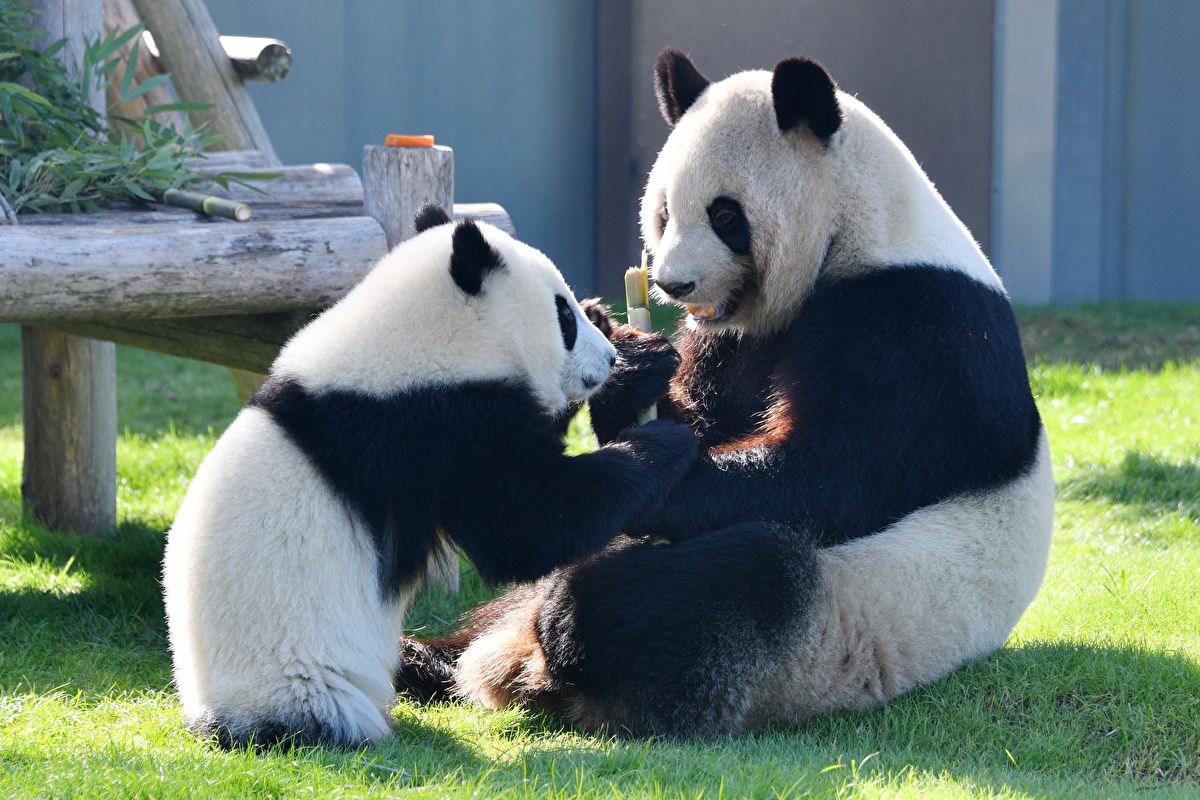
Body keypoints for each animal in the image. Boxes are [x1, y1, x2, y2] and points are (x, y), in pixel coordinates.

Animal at [163, 208, 700, 753]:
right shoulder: (429, 427)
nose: (606, 360)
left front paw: (634, 358)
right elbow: (527, 522)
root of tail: (217, 721)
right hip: (303, 684)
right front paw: (663, 439)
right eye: (562, 317)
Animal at [398, 48, 1056, 738]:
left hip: (847, 615)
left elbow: (827, 472)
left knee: (737, 579)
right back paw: (429, 660)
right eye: (662, 212)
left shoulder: (919, 326)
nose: (673, 284)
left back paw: (574, 621)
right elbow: (709, 419)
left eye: (725, 215)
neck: (861, 224)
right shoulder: (737, 337)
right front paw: (625, 360)